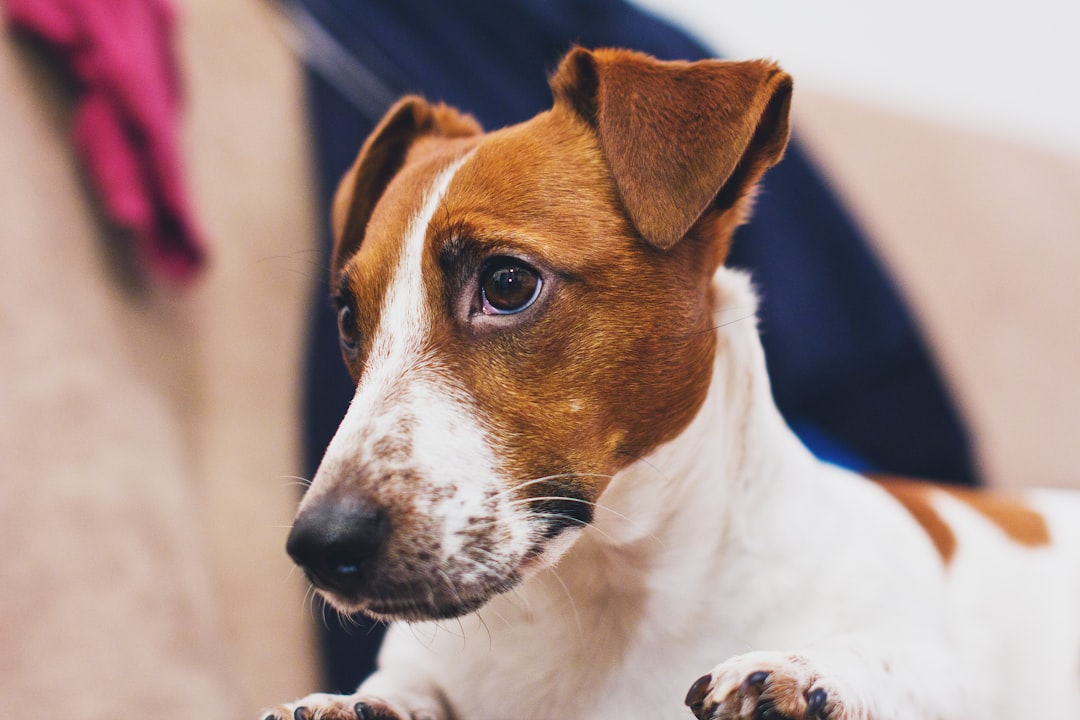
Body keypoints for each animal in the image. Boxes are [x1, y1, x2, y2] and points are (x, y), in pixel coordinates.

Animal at [261, 47, 1080, 716]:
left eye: (506, 283)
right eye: (348, 320)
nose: (319, 546)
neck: (607, 600)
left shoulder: (943, 663)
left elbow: (897, 661)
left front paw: (808, 671)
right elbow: (400, 684)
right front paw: (351, 703)